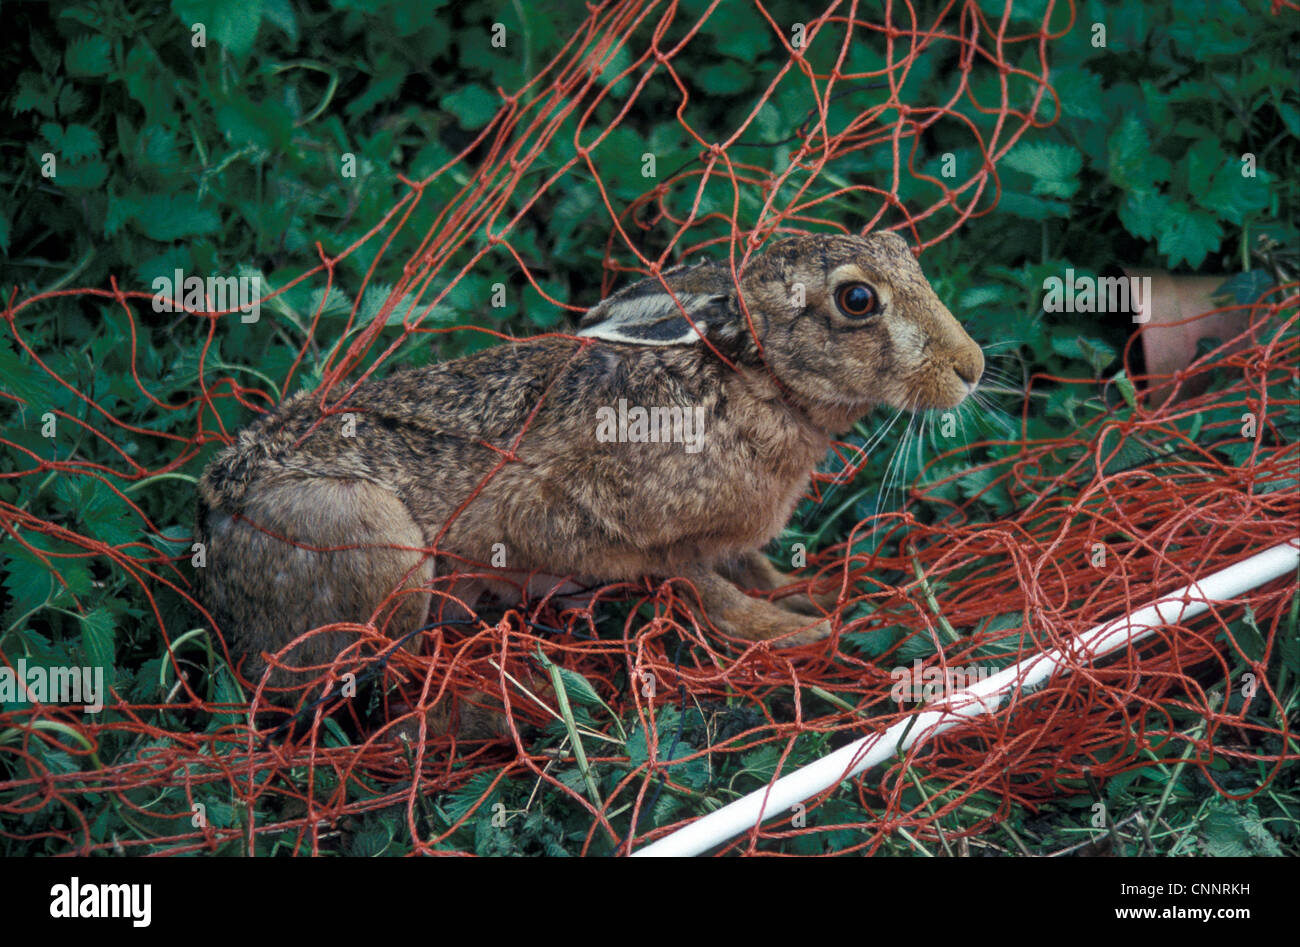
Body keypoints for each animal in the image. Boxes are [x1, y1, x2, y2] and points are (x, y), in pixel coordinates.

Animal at [193, 231, 984, 725]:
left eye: (902, 251)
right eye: (858, 301)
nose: (972, 367)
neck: (755, 380)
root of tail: (214, 524)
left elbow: (756, 568)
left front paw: (813, 595)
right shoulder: (592, 522)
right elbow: (704, 587)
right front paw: (797, 630)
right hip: (376, 543)